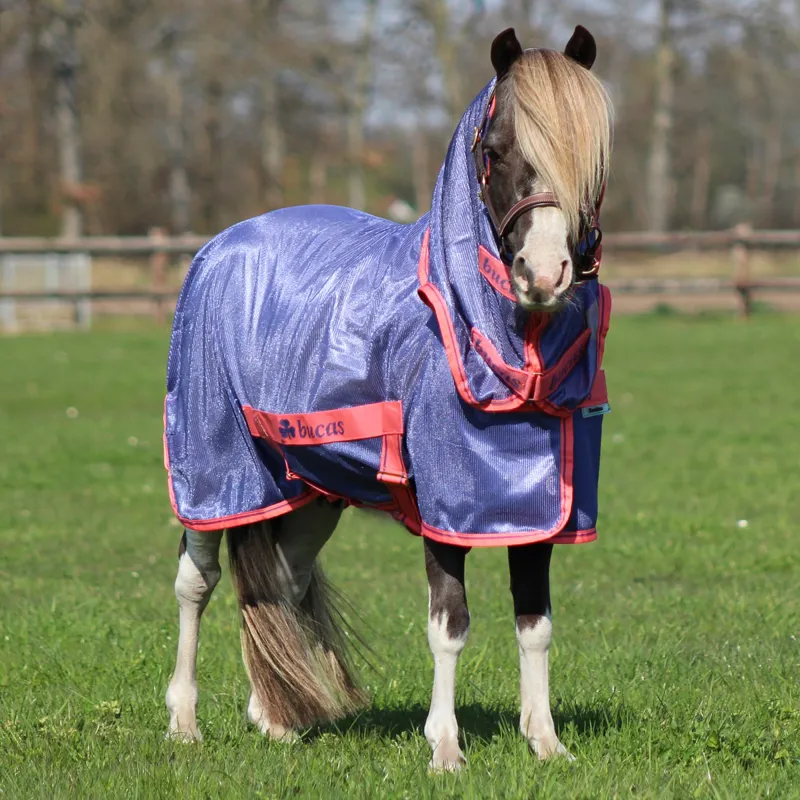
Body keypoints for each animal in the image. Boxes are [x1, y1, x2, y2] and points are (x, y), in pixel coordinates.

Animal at [164, 26, 613, 771]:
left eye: (594, 160)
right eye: (495, 152)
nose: (545, 275)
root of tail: (221, 247)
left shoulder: (534, 509)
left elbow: (536, 623)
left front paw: (546, 743)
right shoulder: (446, 512)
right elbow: (450, 624)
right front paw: (446, 749)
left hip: (308, 490)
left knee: (280, 580)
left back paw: (276, 718)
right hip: (214, 476)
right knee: (195, 581)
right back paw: (184, 723)